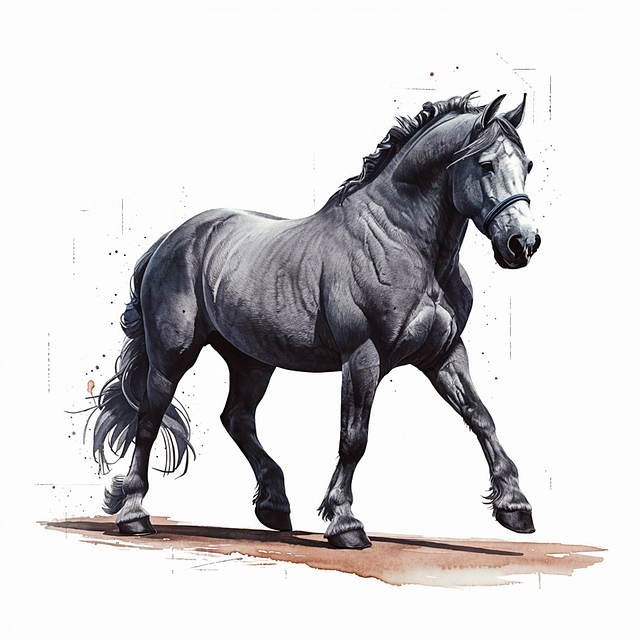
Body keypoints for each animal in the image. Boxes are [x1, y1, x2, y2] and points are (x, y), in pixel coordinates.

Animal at [90, 91, 541, 549]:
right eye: (485, 164)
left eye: (527, 165)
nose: (522, 244)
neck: (403, 243)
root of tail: (171, 240)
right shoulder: (362, 356)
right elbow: (354, 438)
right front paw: (345, 523)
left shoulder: (444, 354)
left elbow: (481, 418)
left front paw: (515, 507)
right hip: (173, 355)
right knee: (149, 421)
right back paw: (134, 515)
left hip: (252, 360)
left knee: (236, 418)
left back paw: (274, 505)